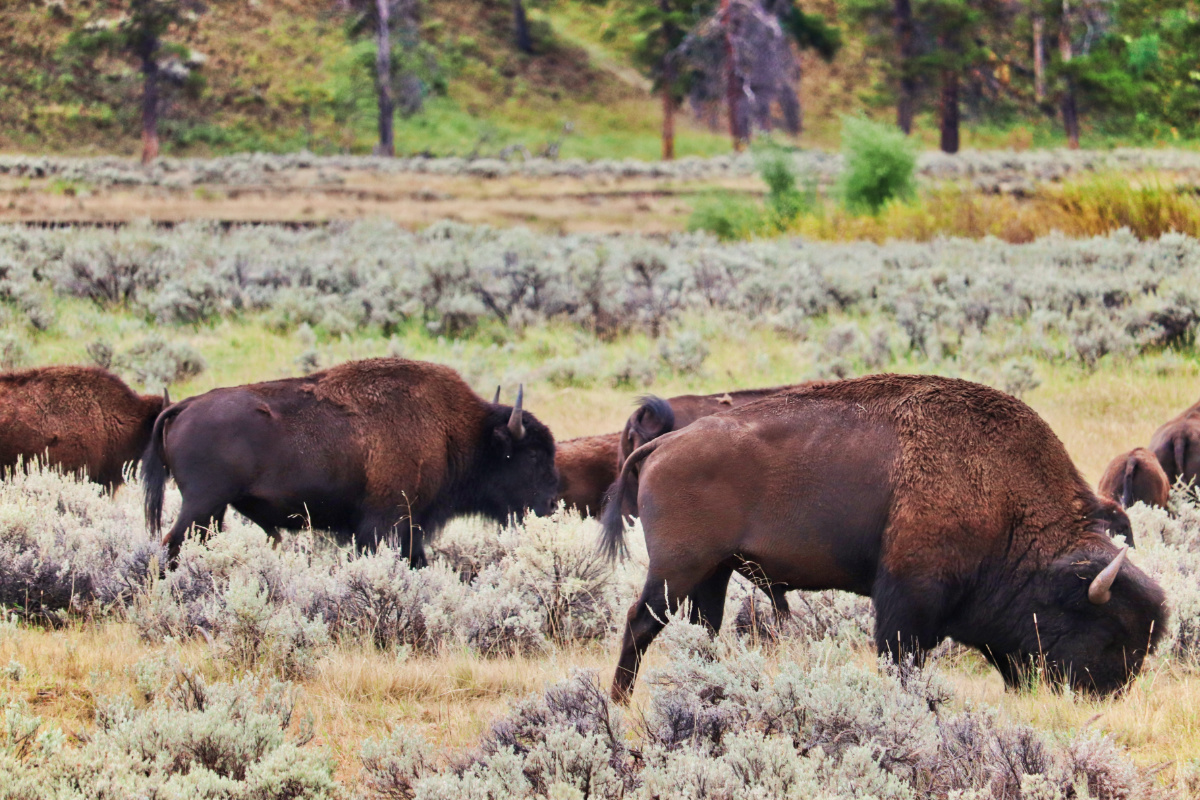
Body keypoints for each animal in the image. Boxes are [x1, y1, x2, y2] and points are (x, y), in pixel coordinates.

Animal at [144, 359, 556, 566]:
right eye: (533, 454)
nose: (552, 504)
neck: (453, 431)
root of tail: (184, 406)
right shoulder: (388, 523)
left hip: (213, 511)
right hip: (202, 503)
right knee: (171, 544)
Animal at [604, 376, 1166, 700]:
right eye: (1108, 632)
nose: (1108, 695)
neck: (1006, 504)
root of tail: (662, 446)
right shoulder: (908, 597)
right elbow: (901, 658)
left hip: (712, 574)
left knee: (703, 629)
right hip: (677, 571)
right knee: (640, 622)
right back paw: (619, 700)